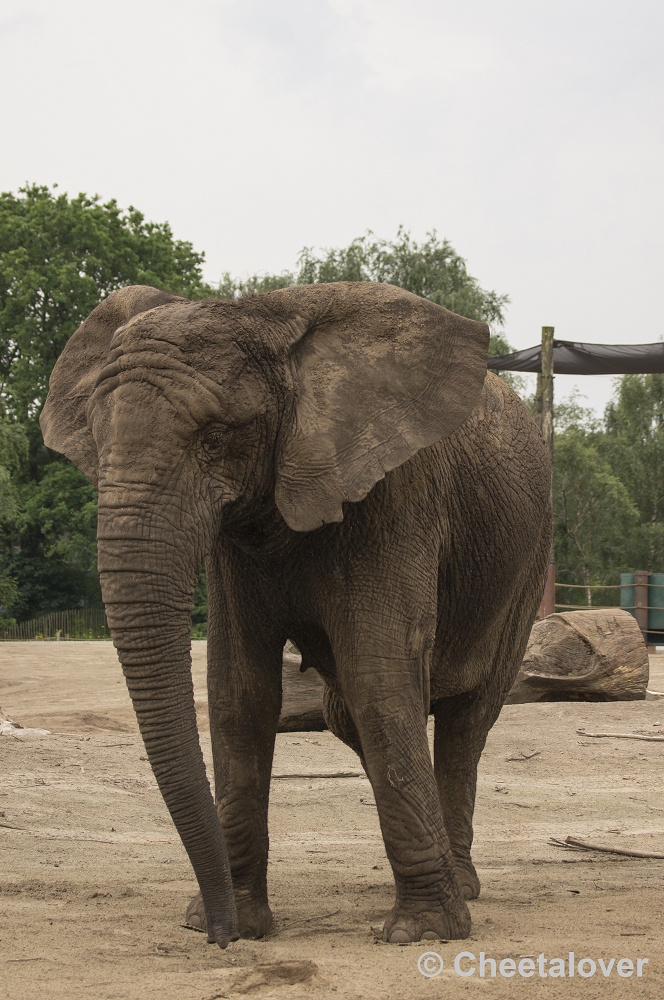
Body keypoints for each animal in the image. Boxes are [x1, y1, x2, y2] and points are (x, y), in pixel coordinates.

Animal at [40, 280, 548, 944]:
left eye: (216, 437)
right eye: (97, 443)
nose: (218, 938)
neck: (267, 320)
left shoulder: (396, 498)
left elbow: (379, 679)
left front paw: (420, 933)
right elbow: (238, 692)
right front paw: (239, 922)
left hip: (530, 564)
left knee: (467, 717)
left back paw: (459, 888)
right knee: (346, 716)